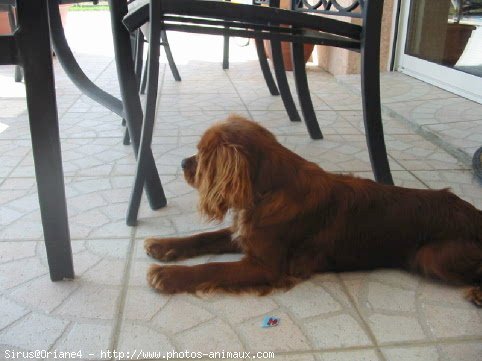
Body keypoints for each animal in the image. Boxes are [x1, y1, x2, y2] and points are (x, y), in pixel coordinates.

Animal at [144, 114, 482, 304]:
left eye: (202, 155)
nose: (182, 163)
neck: (269, 191)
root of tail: (476, 215)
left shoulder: (265, 265)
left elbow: (212, 268)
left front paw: (166, 275)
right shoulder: (245, 234)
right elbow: (202, 238)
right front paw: (162, 246)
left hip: (432, 256)